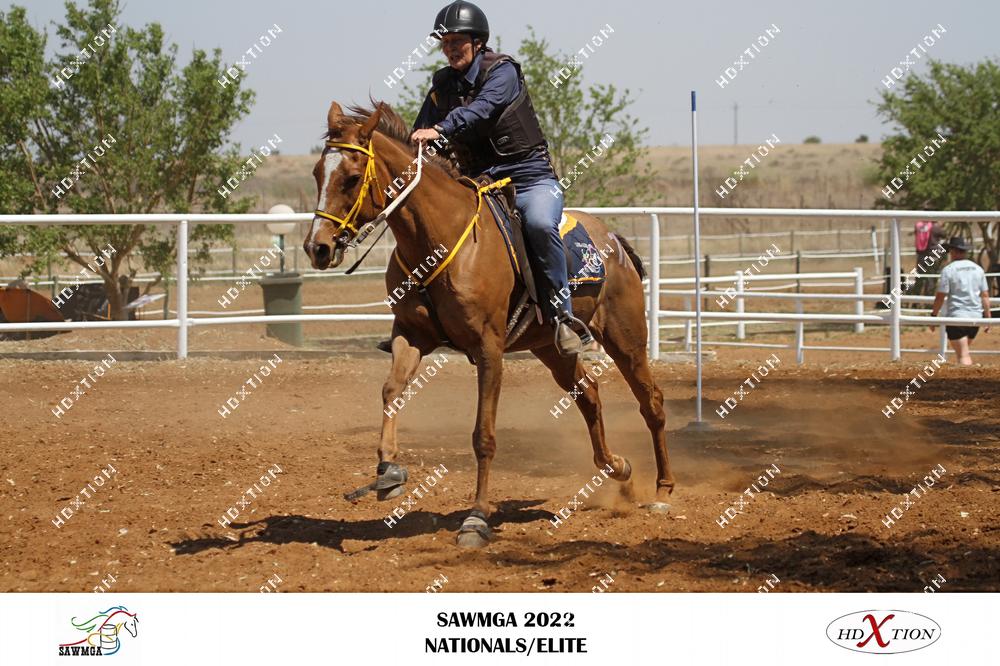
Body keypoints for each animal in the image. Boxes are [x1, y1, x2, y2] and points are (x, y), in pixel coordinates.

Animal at [304, 100, 673, 547]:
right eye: (317, 174)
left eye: (352, 178)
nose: (317, 247)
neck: (440, 237)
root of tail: (614, 240)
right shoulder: (411, 335)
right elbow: (391, 390)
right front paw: (388, 471)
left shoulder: (488, 349)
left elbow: (483, 435)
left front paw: (477, 518)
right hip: (550, 348)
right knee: (590, 396)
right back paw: (617, 468)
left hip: (627, 340)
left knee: (651, 402)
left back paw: (663, 490)